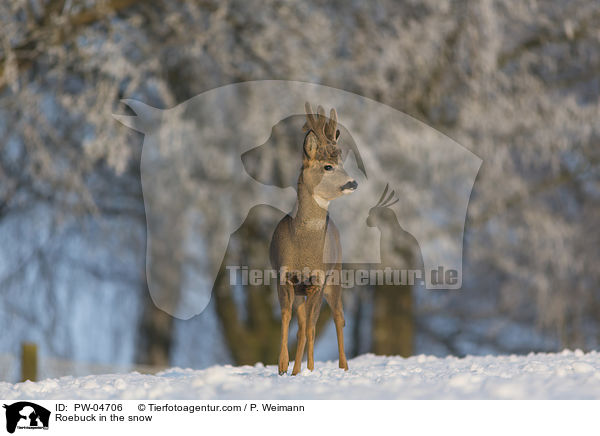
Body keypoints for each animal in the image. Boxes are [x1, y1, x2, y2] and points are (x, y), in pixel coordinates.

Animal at [270, 102, 358, 374]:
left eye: (342, 164)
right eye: (328, 166)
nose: (353, 182)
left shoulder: (318, 280)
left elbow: (310, 327)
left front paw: (298, 369)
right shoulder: (283, 275)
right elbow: (287, 318)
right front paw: (283, 365)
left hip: (335, 275)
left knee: (337, 318)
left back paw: (341, 366)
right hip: (304, 289)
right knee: (302, 324)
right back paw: (305, 367)